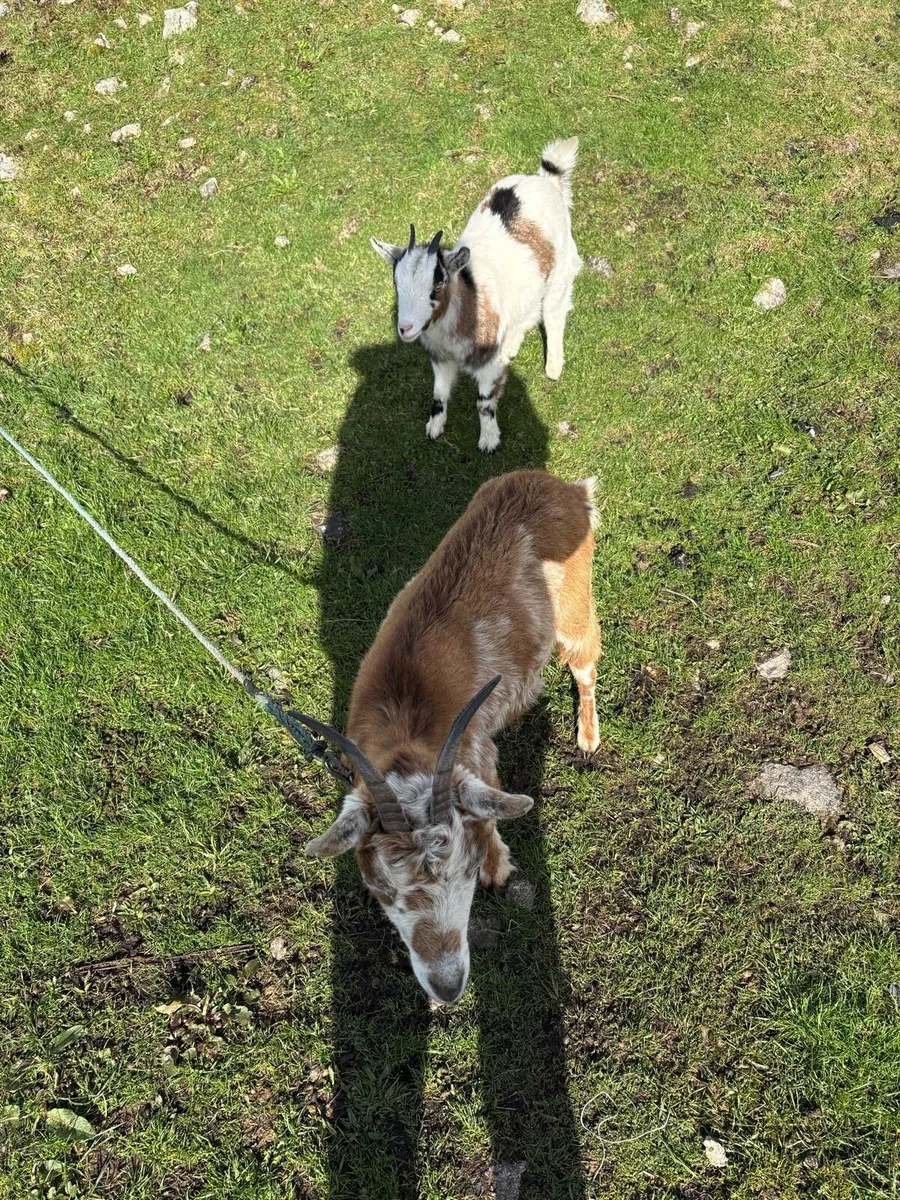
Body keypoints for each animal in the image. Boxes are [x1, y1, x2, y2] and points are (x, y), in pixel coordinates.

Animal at [297, 470, 601, 1005]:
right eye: (385, 890)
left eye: (465, 870)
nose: (447, 985)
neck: (407, 719)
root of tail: (568, 488)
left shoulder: (476, 751)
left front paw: (499, 869)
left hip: (574, 607)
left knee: (587, 656)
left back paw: (587, 736)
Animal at [370, 138, 582, 453]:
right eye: (396, 284)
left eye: (438, 284)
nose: (405, 328)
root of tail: (546, 179)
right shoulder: (441, 359)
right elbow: (438, 394)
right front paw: (435, 427)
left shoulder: (485, 363)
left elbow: (484, 401)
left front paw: (489, 440)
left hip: (561, 268)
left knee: (554, 311)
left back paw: (554, 366)